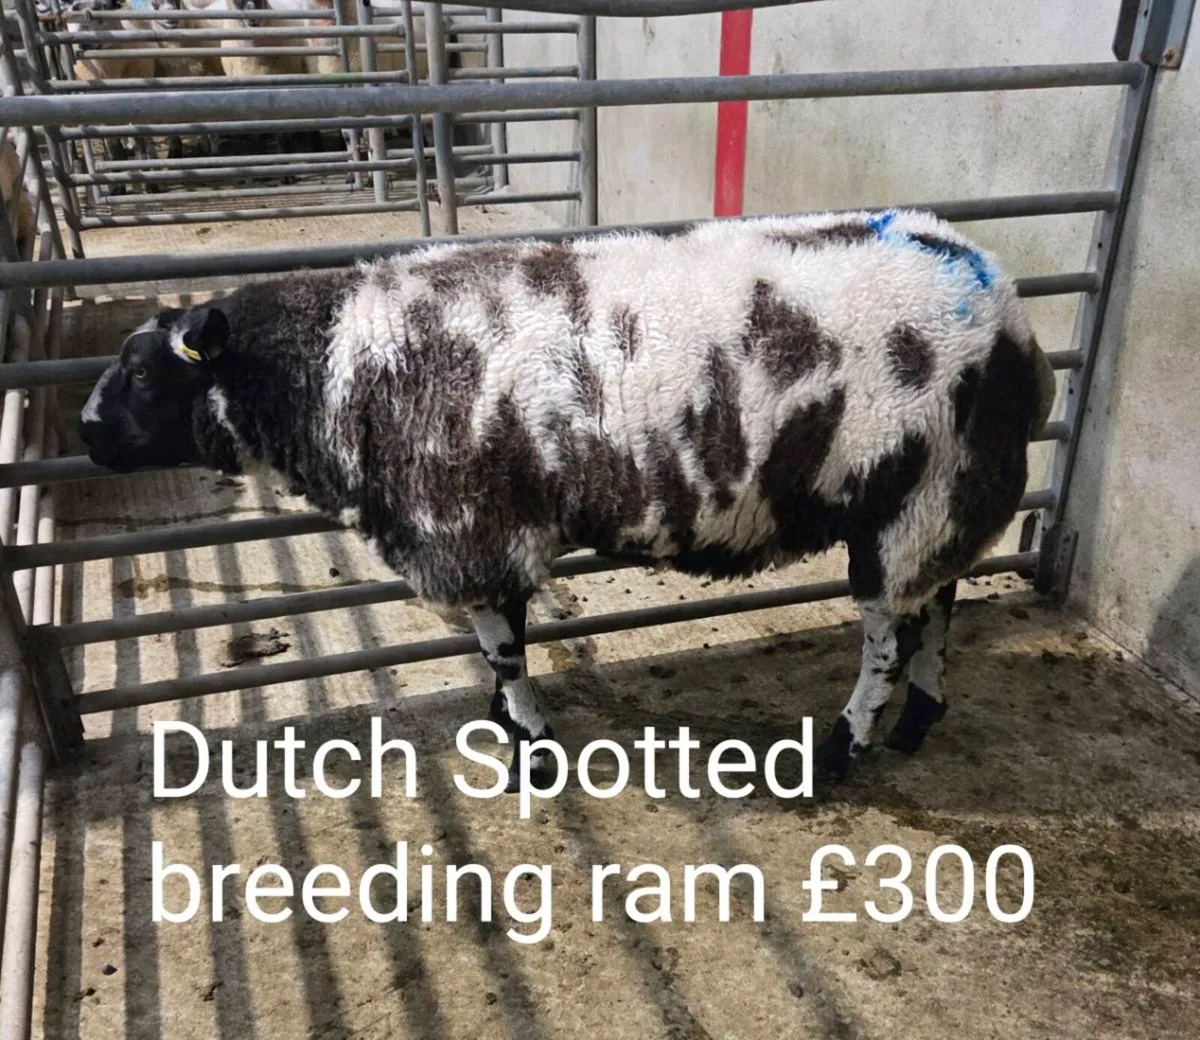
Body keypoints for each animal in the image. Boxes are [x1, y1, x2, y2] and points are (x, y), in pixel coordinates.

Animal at [79, 209, 1056, 789]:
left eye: (143, 371)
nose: (86, 432)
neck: (331, 372)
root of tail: (1006, 302)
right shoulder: (482, 532)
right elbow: (497, 647)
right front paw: (508, 729)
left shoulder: (471, 527)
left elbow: (506, 650)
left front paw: (530, 747)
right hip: (935, 500)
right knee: (937, 607)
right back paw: (919, 721)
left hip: (912, 500)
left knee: (888, 636)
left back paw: (841, 750)